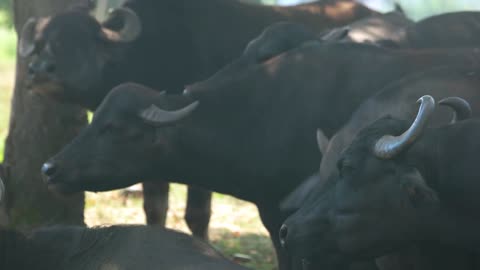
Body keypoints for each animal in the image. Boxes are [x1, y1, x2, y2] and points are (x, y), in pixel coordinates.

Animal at [17, 0, 378, 240]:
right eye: (42, 42)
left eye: (78, 40)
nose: (38, 71)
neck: (154, 50)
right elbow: (155, 206)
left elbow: (197, 214)